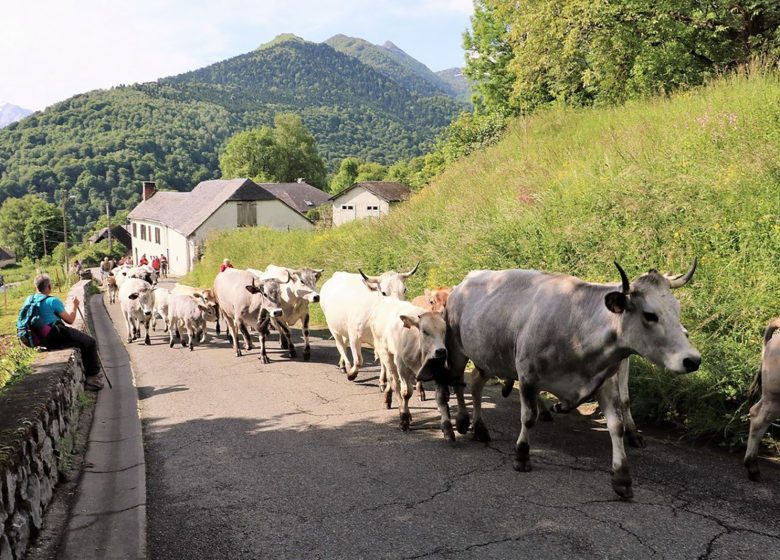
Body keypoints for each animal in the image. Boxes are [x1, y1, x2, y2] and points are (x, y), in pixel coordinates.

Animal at [370, 300, 444, 430]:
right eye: (424, 331)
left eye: (445, 330)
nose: (441, 351)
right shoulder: (402, 365)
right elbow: (406, 392)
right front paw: (404, 417)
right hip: (385, 352)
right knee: (394, 381)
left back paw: (387, 397)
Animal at [432, 260, 700, 498]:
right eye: (650, 315)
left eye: (677, 310)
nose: (693, 360)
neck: (578, 327)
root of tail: (462, 283)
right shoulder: (527, 375)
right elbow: (528, 418)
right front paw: (522, 455)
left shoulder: (604, 381)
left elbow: (616, 425)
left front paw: (622, 477)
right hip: (455, 350)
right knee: (451, 384)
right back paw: (456, 424)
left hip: (487, 356)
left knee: (475, 383)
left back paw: (479, 427)